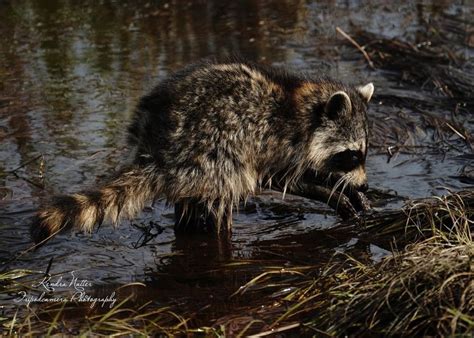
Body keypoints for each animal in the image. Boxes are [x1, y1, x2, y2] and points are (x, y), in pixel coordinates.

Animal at [31, 58, 376, 243]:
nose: (365, 184)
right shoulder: (273, 142)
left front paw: (345, 188)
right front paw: (333, 193)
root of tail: (156, 148)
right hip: (212, 152)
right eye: (352, 155)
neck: (303, 107)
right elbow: (280, 180)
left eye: (363, 154)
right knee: (227, 190)